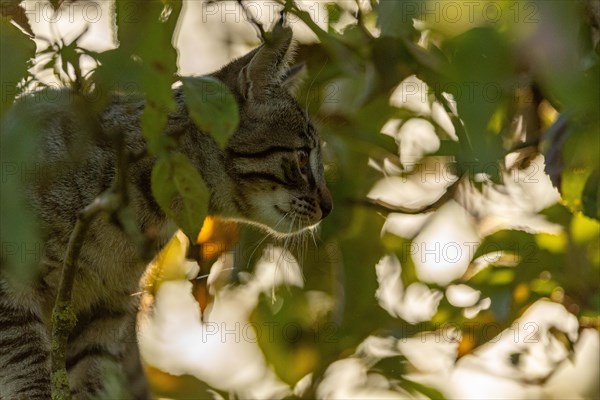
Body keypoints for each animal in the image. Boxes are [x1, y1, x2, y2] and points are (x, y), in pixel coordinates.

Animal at [0, 26, 332, 398]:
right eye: (302, 158)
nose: (329, 206)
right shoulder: (11, 281)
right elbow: (26, 364)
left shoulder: (105, 315)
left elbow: (90, 378)